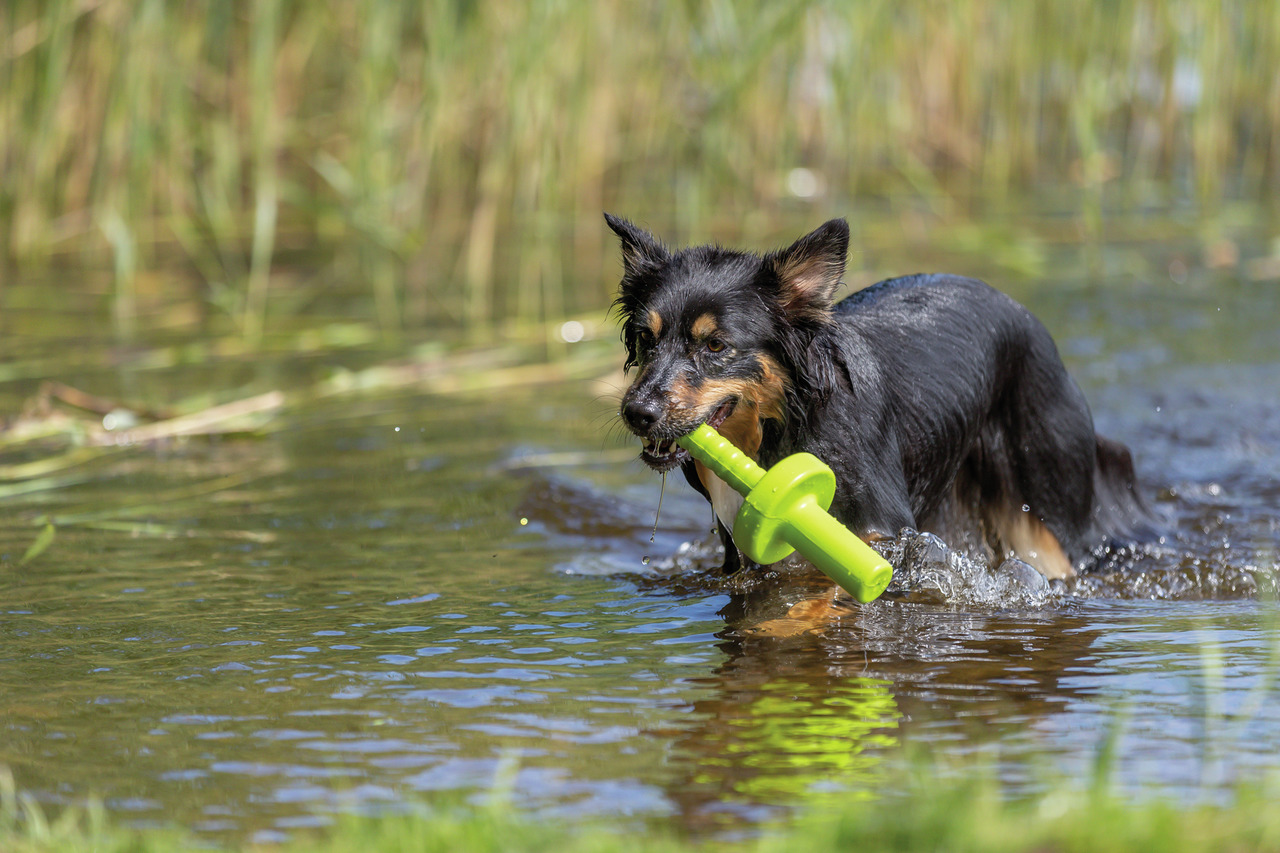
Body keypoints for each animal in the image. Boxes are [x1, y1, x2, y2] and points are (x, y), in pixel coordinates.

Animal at [604, 212, 1157, 578]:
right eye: (646, 338)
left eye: (715, 346)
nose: (638, 412)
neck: (779, 430)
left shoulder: (885, 534)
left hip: (1048, 511)